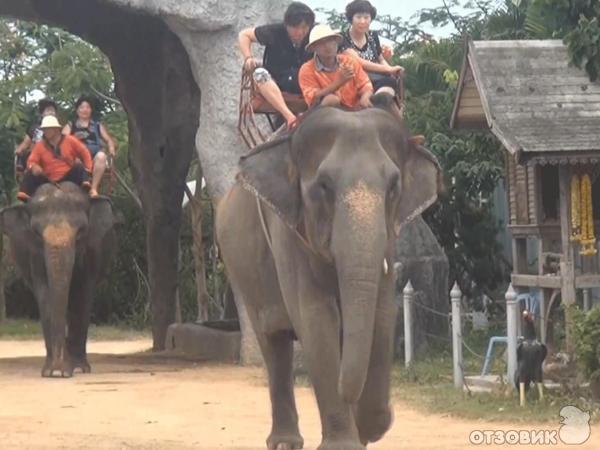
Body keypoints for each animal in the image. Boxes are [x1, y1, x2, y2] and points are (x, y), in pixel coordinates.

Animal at [0, 181, 116, 378]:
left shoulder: (91, 249)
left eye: (81, 232)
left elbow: (82, 291)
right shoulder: (34, 254)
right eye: (36, 233)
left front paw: (77, 369)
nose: (59, 370)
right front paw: (51, 372)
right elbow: (44, 292)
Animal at [218, 92, 442, 450]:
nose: (392, 412)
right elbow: (316, 319)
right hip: (242, 270)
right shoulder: (288, 232)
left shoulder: (389, 238)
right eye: (323, 186)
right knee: (273, 342)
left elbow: (383, 313)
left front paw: (370, 428)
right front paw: (348, 441)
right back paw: (284, 443)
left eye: (394, 186)